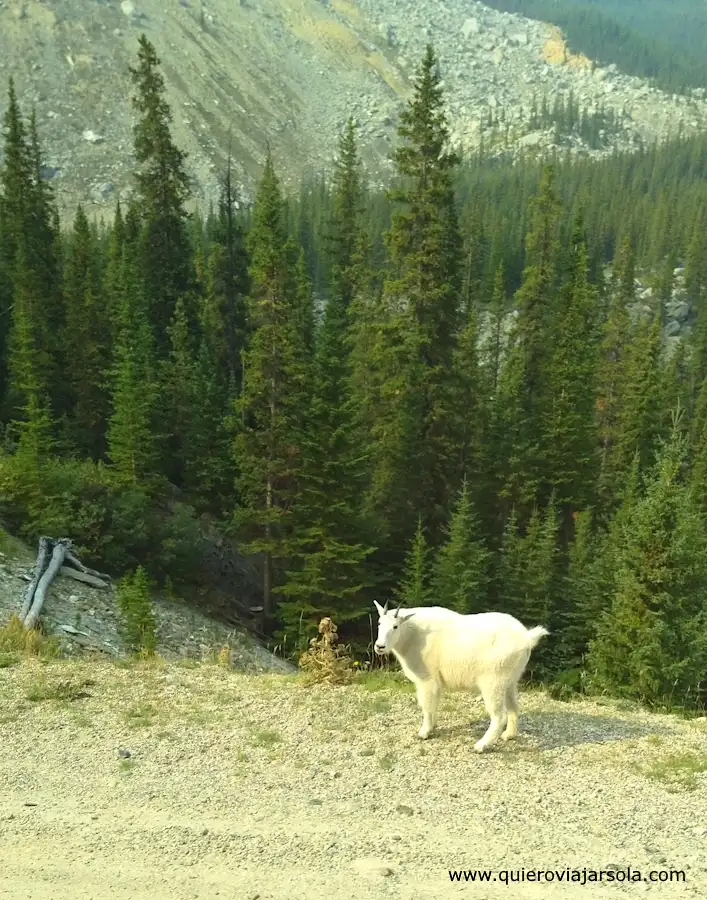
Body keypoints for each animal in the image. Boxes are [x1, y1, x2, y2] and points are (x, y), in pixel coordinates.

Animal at [373, 600, 549, 752]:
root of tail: (527, 638)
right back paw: (508, 735)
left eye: (395, 626)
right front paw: (433, 727)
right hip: (510, 679)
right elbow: (433, 704)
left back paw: (480, 746)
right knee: (514, 707)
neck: (411, 635)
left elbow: (426, 706)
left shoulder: (427, 679)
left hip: (493, 681)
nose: (379, 646)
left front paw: (424, 732)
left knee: (499, 716)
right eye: (379, 623)